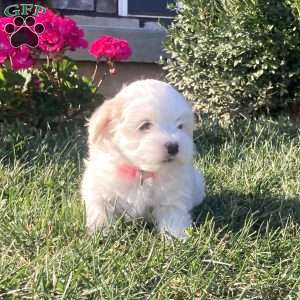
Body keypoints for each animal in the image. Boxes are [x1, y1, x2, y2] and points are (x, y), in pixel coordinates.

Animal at [81, 78, 205, 238]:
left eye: (180, 126)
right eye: (145, 125)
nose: (174, 147)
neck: (141, 172)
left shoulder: (172, 198)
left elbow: (173, 217)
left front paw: (176, 237)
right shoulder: (99, 190)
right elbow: (101, 210)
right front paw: (100, 232)